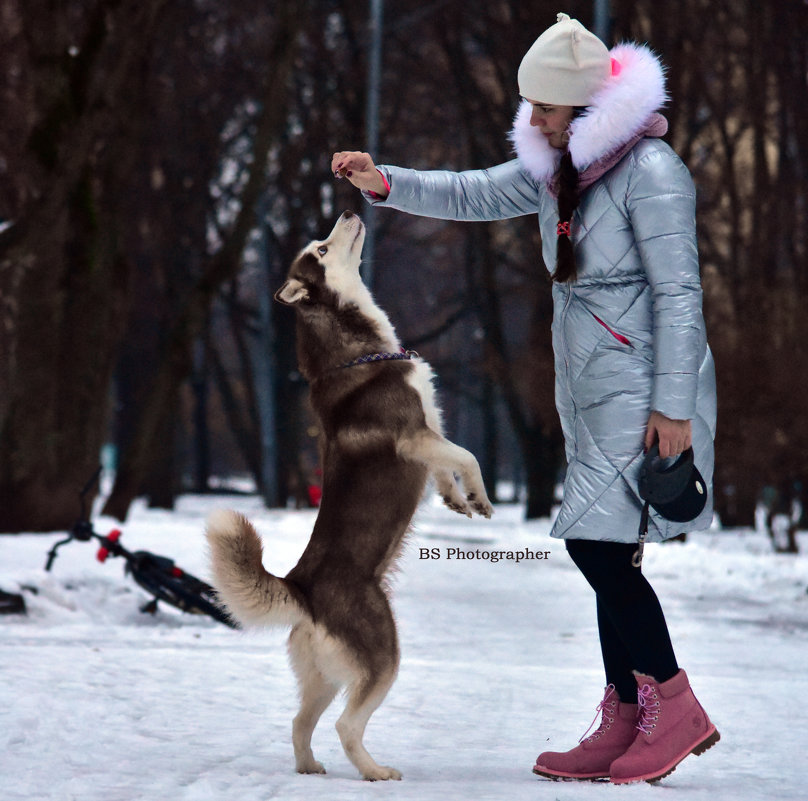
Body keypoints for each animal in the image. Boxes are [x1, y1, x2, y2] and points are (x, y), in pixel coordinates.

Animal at [205, 209, 492, 780]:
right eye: (319, 247)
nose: (349, 210)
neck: (360, 350)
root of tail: (302, 587)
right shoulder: (414, 435)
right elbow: (467, 457)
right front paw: (479, 496)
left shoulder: (429, 435)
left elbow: (447, 465)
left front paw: (455, 500)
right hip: (382, 657)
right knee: (344, 725)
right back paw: (376, 772)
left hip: (324, 675)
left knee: (300, 722)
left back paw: (309, 768)